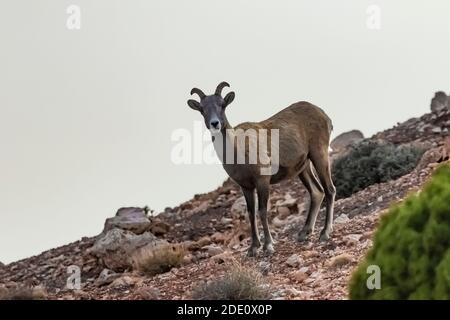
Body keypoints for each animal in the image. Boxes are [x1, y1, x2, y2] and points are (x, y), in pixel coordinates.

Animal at [185, 81, 334, 256]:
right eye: (202, 109)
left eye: (222, 104)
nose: (215, 123)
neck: (238, 150)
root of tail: (323, 115)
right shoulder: (246, 187)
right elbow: (250, 213)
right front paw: (253, 248)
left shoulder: (262, 181)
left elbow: (262, 211)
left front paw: (268, 245)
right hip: (304, 168)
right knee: (317, 192)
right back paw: (304, 233)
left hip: (319, 156)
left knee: (329, 190)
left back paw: (324, 233)